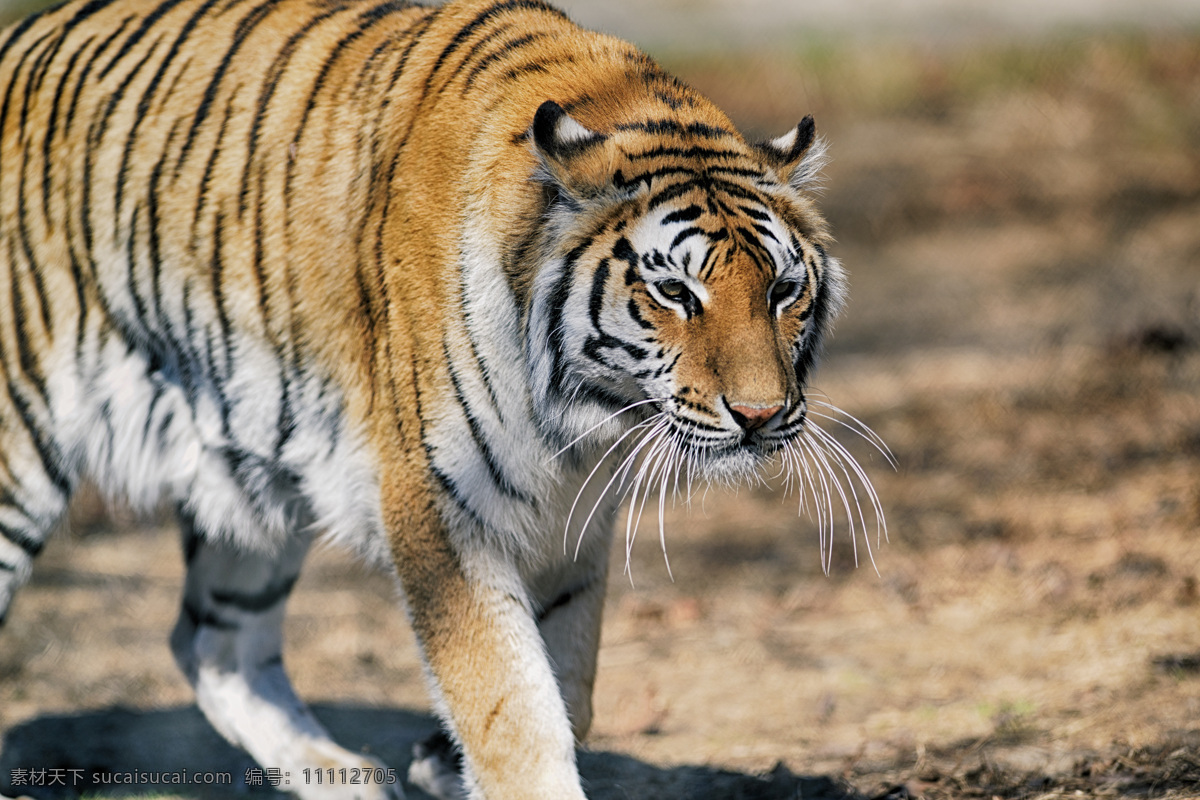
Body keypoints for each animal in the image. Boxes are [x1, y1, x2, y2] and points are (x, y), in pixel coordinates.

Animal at [0, 0, 868, 796]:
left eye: (784, 290)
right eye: (675, 292)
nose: (759, 416)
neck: (583, 418)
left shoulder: (572, 522)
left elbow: (567, 683)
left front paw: (440, 761)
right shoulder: (444, 507)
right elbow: (510, 705)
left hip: (249, 483)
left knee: (209, 646)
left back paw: (345, 773)